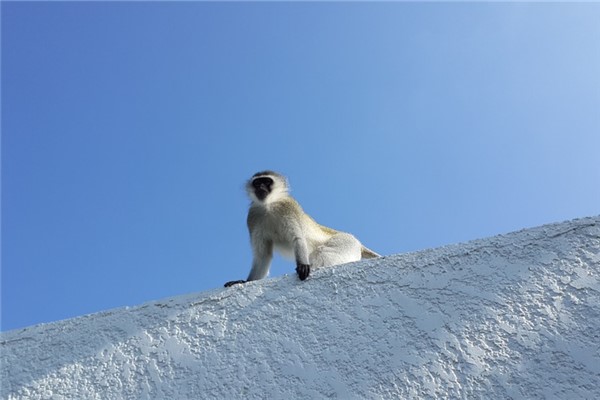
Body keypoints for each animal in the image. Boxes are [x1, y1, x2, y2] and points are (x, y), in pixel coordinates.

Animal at [225, 170, 380, 288]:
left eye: (267, 182)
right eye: (257, 183)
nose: (261, 187)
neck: (269, 206)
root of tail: (358, 242)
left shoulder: (288, 208)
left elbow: (297, 238)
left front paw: (303, 266)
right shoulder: (253, 217)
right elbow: (263, 255)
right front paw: (245, 281)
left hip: (345, 242)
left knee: (321, 252)